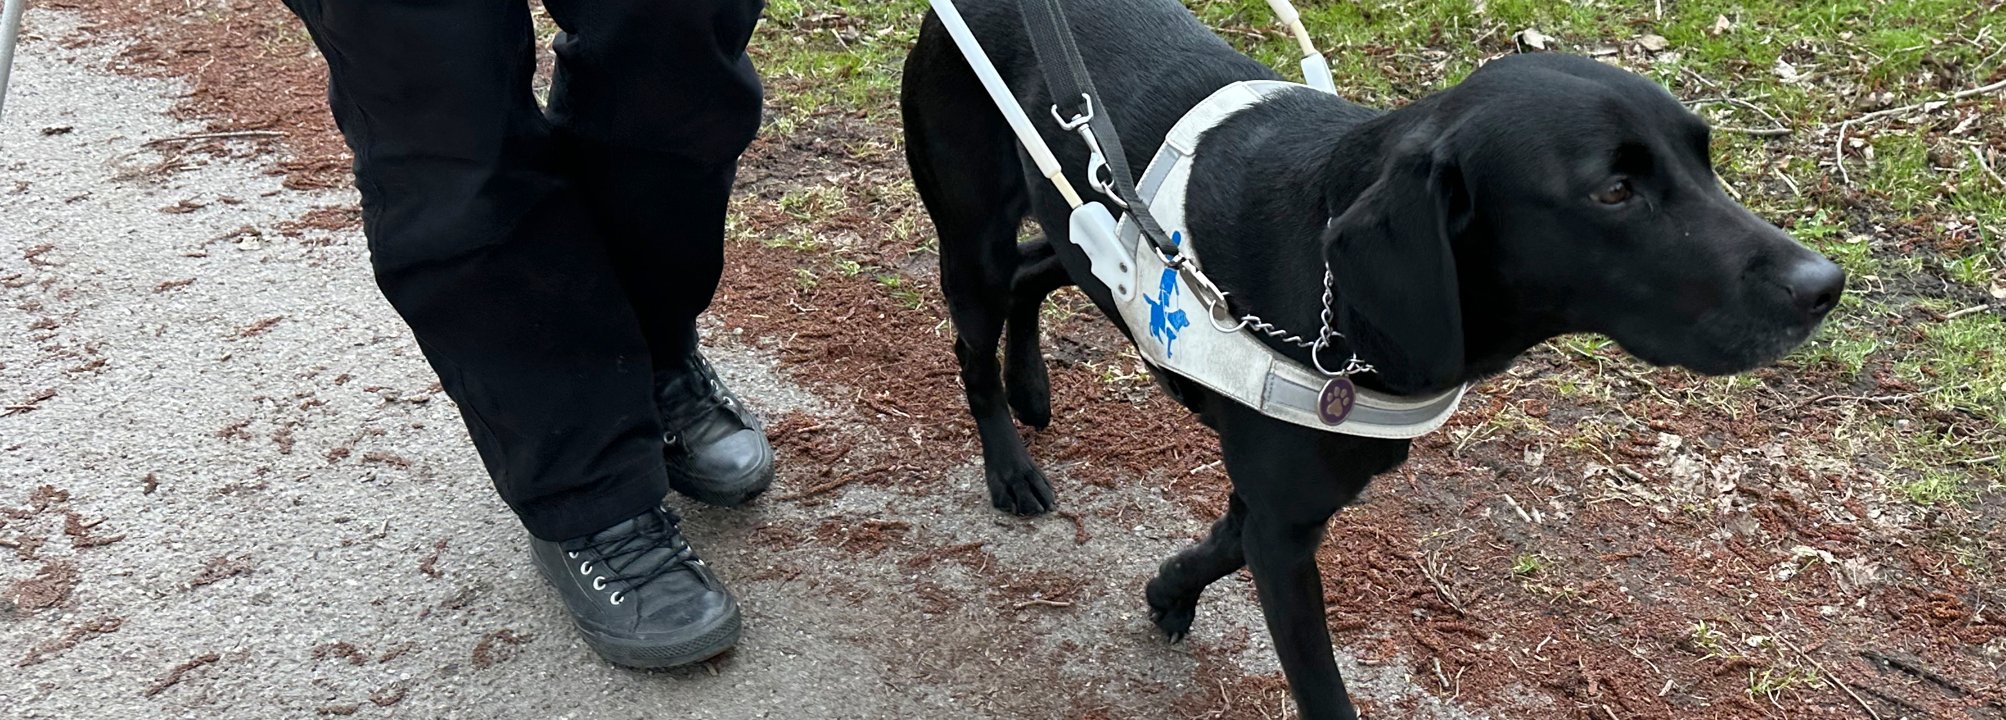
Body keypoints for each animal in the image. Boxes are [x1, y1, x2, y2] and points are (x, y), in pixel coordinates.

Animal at [902, 0, 1837, 717]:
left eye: (1706, 158)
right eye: (1613, 191)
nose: (1825, 285)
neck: (1335, 296)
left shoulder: (1286, 504)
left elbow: (1226, 541)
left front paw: (1169, 588)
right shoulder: (1286, 526)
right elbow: (1318, 681)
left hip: (1089, 221)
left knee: (1036, 271)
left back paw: (1032, 386)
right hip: (972, 235)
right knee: (974, 343)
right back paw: (1010, 464)